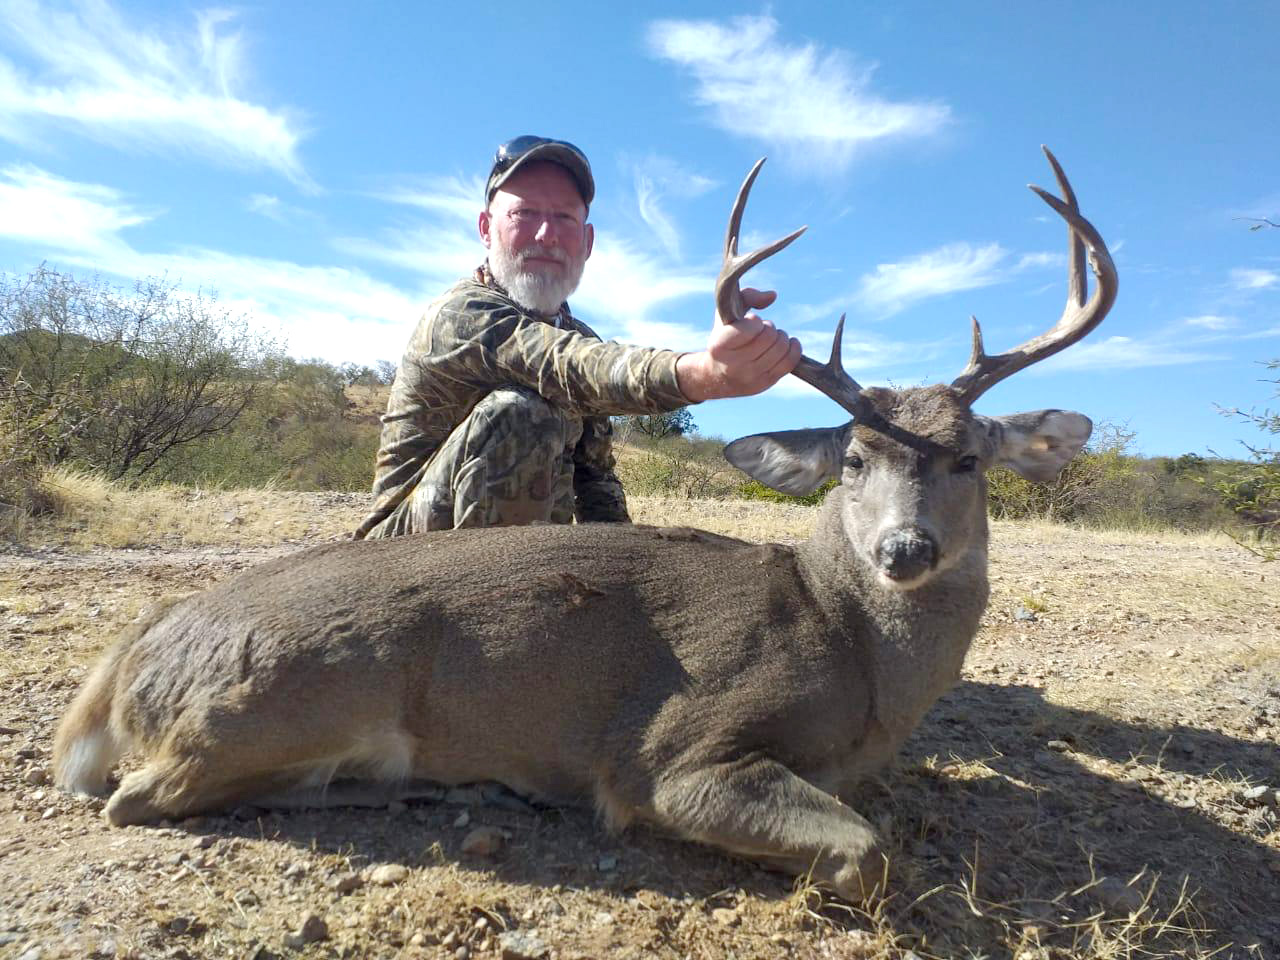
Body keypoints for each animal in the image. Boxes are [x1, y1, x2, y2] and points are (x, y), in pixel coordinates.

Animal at [53, 148, 1116, 901]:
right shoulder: (669, 751)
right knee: (137, 798)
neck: (850, 648)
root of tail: (132, 651)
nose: (905, 549)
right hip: (276, 697)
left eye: (970, 459)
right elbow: (865, 853)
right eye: (852, 460)